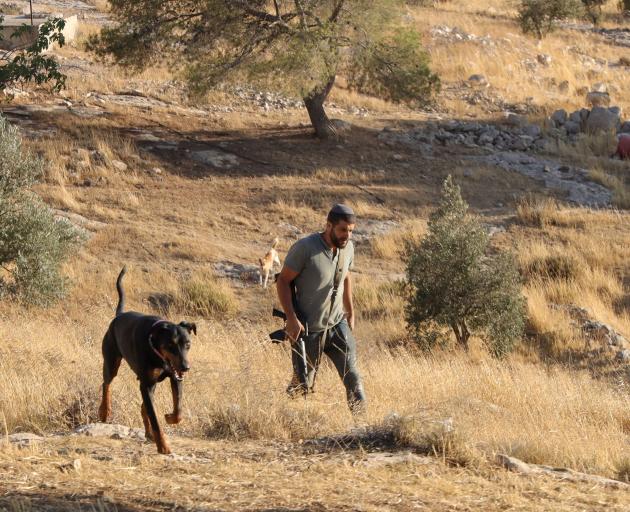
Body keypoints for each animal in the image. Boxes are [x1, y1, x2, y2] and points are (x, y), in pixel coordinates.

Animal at [99, 266, 196, 454]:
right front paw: (163, 446)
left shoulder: (173, 377)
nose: (186, 367)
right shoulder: (147, 383)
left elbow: (178, 410)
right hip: (112, 362)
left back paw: (148, 433)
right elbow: (155, 418)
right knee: (106, 383)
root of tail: (119, 315)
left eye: (187, 344)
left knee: (144, 407)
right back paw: (104, 411)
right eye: (170, 345)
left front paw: (169, 417)